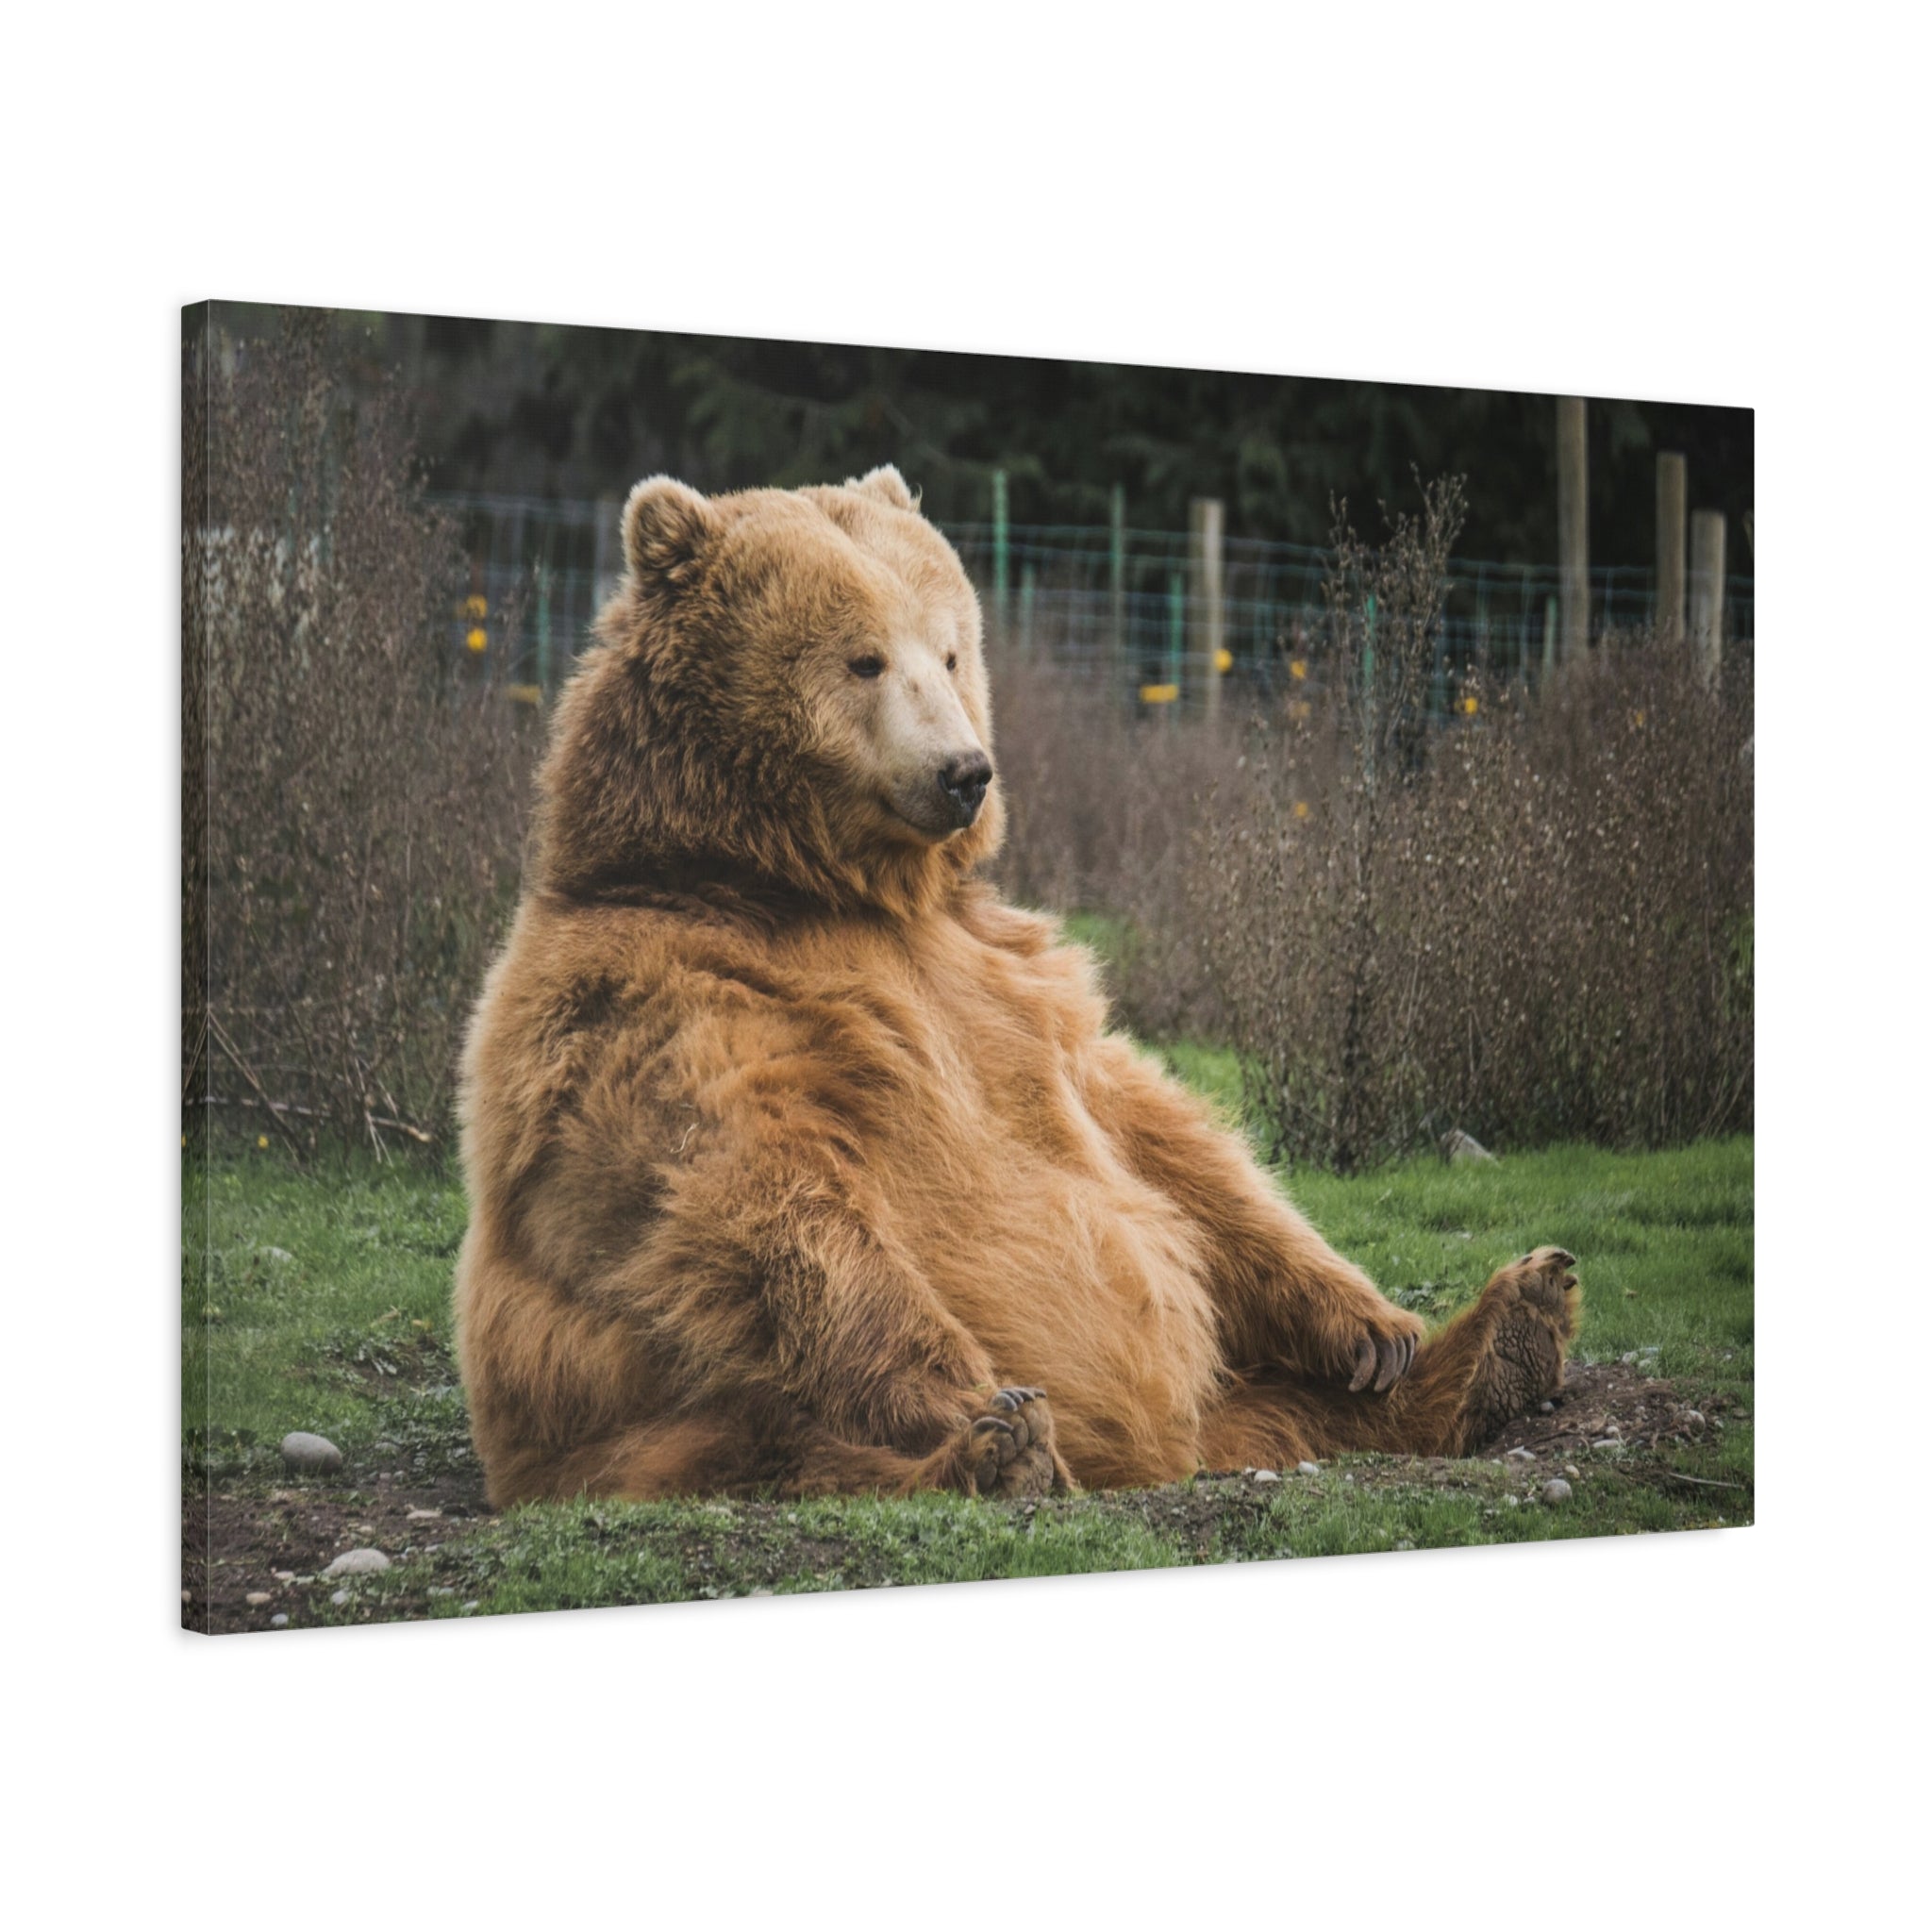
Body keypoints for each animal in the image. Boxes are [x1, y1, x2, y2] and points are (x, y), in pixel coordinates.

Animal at [452, 465, 1579, 1507]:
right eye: (863, 657)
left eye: (950, 648)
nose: (964, 770)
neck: (805, 884)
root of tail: (1164, 1453)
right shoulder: (664, 998)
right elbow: (762, 1199)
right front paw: (978, 1401)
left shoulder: (1006, 976)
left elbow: (1158, 1135)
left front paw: (1372, 1325)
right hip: (647, 1424)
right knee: (784, 1447)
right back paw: (999, 1455)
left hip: (1233, 1392)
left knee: (1295, 1403)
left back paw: (1504, 1332)